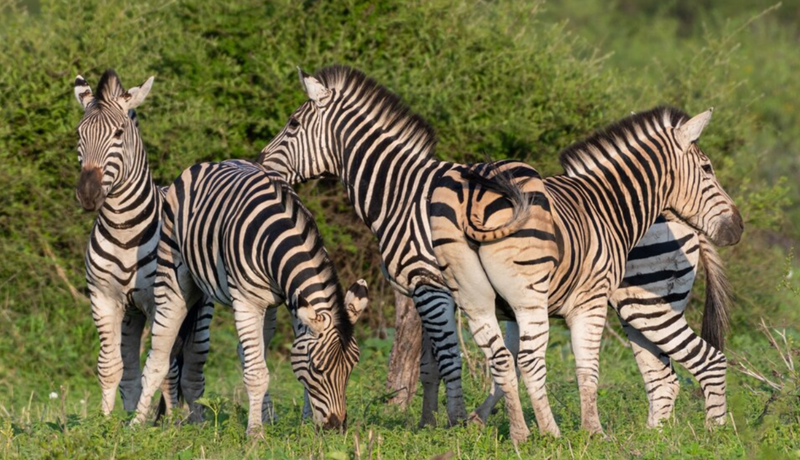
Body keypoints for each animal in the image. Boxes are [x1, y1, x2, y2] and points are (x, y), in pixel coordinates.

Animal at [73, 70, 214, 421]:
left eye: (119, 133)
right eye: (80, 133)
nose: (88, 194)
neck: (124, 230)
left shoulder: (160, 302)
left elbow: (166, 368)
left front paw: (163, 423)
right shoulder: (103, 298)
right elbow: (109, 366)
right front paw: (106, 422)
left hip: (200, 309)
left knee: (190, 367)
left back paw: (193, 420)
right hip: (131, 313)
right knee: (133, 368)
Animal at [131, 159, 368, 436]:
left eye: (351, 367)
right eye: (318, 369)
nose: (336, 427)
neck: (278, 237)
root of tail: (209, 163)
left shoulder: (293, 300)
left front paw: (303, 423)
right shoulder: (247, 301)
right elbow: (257, 373)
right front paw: (255, 433)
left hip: (266, 305)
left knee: (247, 352)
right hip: (174, 273)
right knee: (159, 355)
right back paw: (139, 424)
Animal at [258, 66, 742, 442]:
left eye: (292, 125)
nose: (261, 165)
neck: (403, 192)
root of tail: (683, 222)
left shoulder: (429, 285)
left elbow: (447, 359)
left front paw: (450, 424)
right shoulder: (434, 291)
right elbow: (432, 365)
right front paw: (430, 424)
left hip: (642, 299)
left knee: (691, 363)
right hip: (638, 305)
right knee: (663, 376)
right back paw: (654, 435)